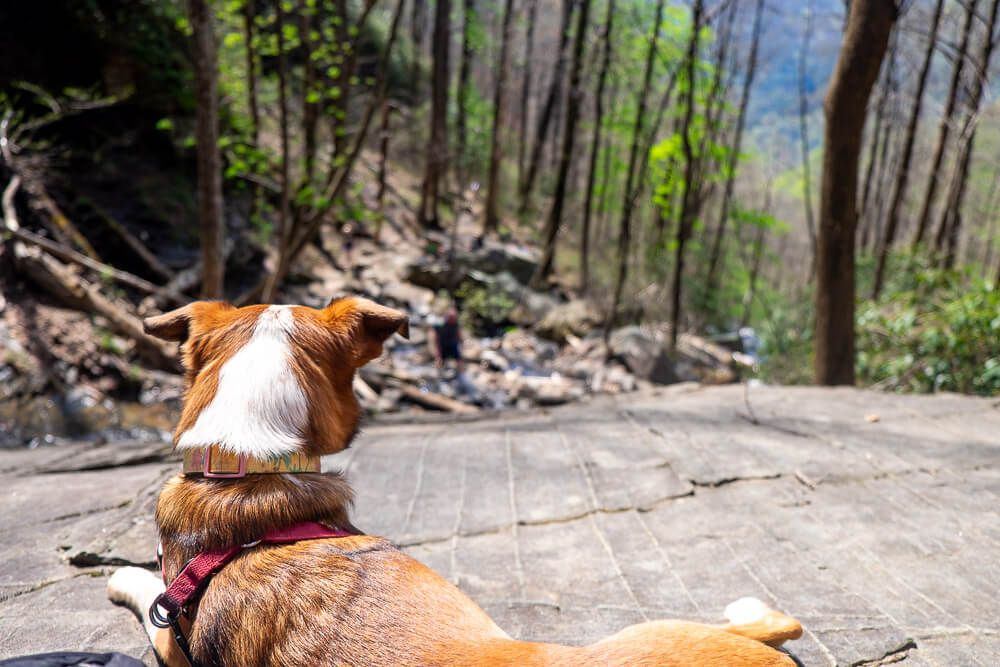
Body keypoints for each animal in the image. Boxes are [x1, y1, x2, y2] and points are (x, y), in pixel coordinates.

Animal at [107, 300, 804, 664]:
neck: (243, 464)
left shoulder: (171, 639)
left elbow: (144, 589)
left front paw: (118, 575)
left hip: (639, 634)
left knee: (776, 620)